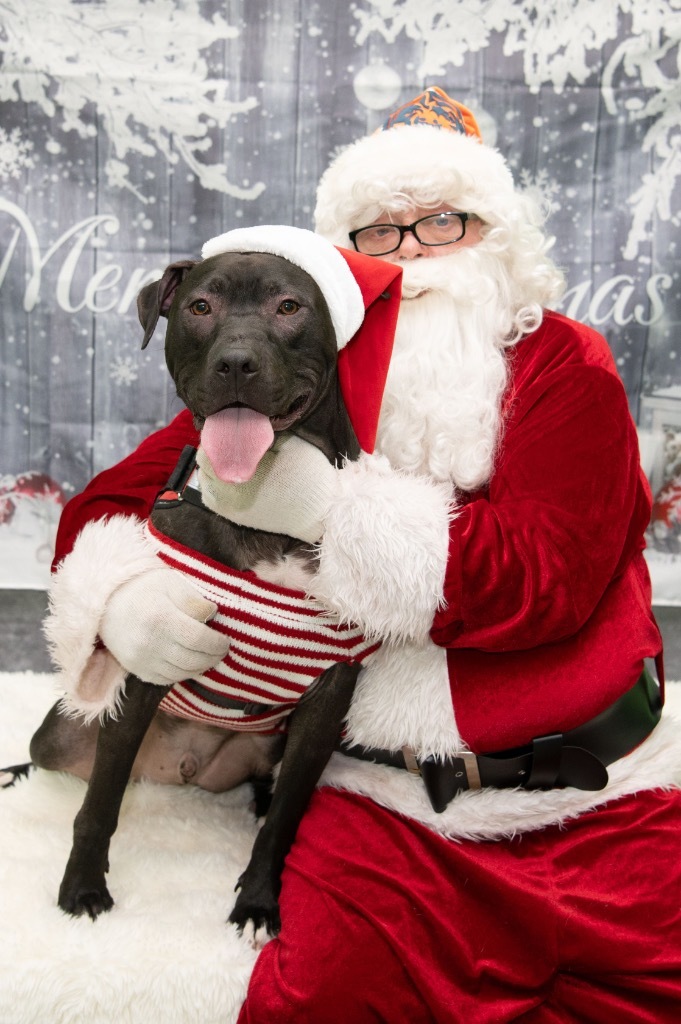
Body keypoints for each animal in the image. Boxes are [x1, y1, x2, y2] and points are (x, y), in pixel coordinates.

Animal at [41, 249, 366, 937]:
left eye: (289, 306)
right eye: (199, 306)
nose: (236, 362)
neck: (261, 507)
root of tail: (179, 769)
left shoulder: (329, 699)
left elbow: (286, 820)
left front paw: (258, 899)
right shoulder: (148, 664)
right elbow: (100, 803)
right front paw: (83, 887)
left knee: (271, 794)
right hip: (68, 726)